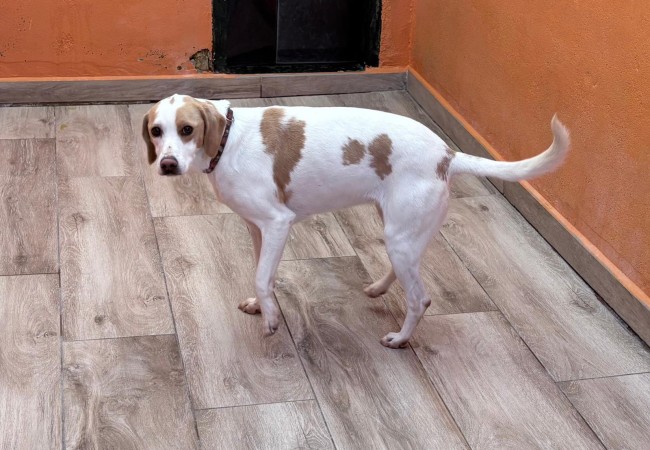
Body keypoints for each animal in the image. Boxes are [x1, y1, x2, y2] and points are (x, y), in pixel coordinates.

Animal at [142, 94, 569, 348]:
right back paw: (379, 288)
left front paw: (272, 319)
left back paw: (399, 339)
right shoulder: (258, 228)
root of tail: (448, 154)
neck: (228, 139)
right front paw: (262, 306)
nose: (167, 164)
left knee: (420, 298)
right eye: (156, 131)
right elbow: (263, 274)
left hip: (400, 237)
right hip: (400, 231)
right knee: (407, 271)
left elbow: (263, 277)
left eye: (187, 130)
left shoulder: (278, 223)